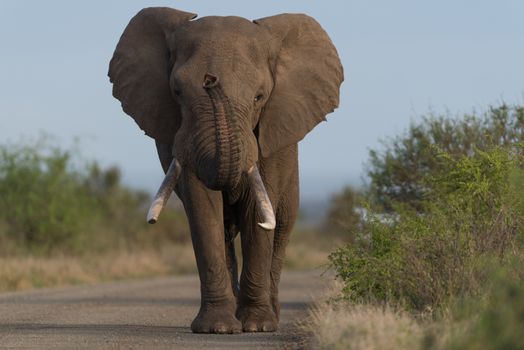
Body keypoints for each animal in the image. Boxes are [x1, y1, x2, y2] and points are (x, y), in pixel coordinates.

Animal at [108, 6, 342, 334]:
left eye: (259, 96)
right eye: (177, 92)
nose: (210, 80)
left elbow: (259, 213)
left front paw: (257, 327)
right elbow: (204, 210)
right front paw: (216, 328)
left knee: (281, 227)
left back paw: (270, 317)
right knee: (225, 229)